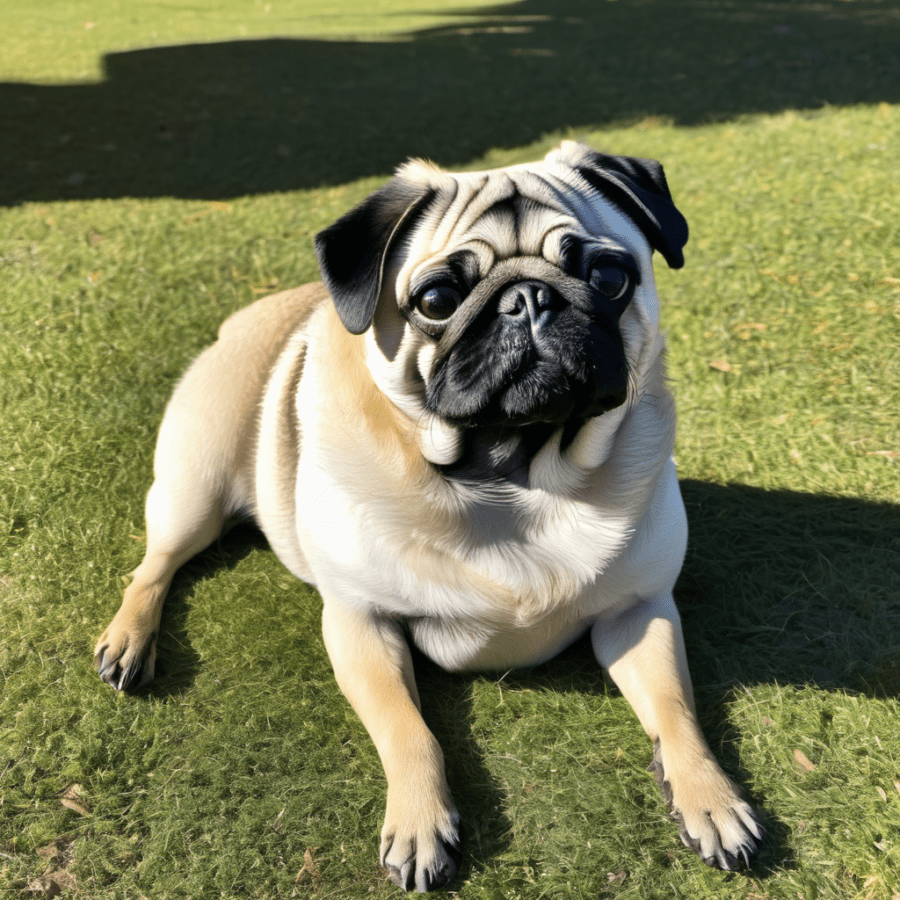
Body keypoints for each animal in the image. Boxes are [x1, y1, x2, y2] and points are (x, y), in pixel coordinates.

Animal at [95, 142, 764, 892]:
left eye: (610, 276)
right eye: (437, 300)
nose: (529, 298)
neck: (510, 478)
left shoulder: (640, 612)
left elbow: (678, 712)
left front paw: (710, 797)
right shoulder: (361, 622)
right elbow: (409, 731)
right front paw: (420, 821)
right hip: (194, 488)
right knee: (154, 566)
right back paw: (128, 640)